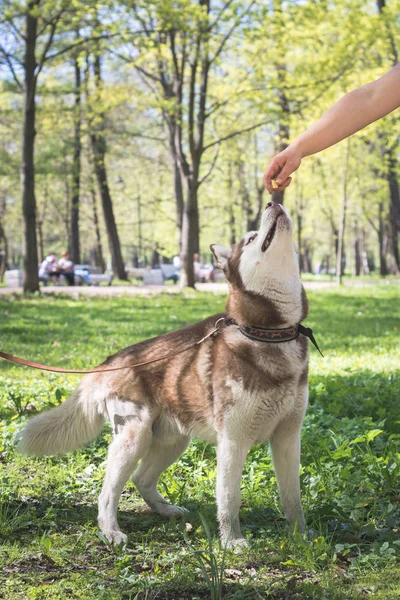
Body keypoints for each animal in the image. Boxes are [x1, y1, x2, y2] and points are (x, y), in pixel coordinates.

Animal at [17, 203, 308, 548]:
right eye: (251, 238)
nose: (272, 203)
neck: (271, 334)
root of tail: (107, 363)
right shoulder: (233, 441)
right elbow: (229, 499)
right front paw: (231, 542)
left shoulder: (288, 437)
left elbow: (293, 498)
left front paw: (303, 536)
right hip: (134, 436)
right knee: (108, 492)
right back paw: (111, 531)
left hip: (174, 439)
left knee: (142, 478)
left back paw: (165, 510)